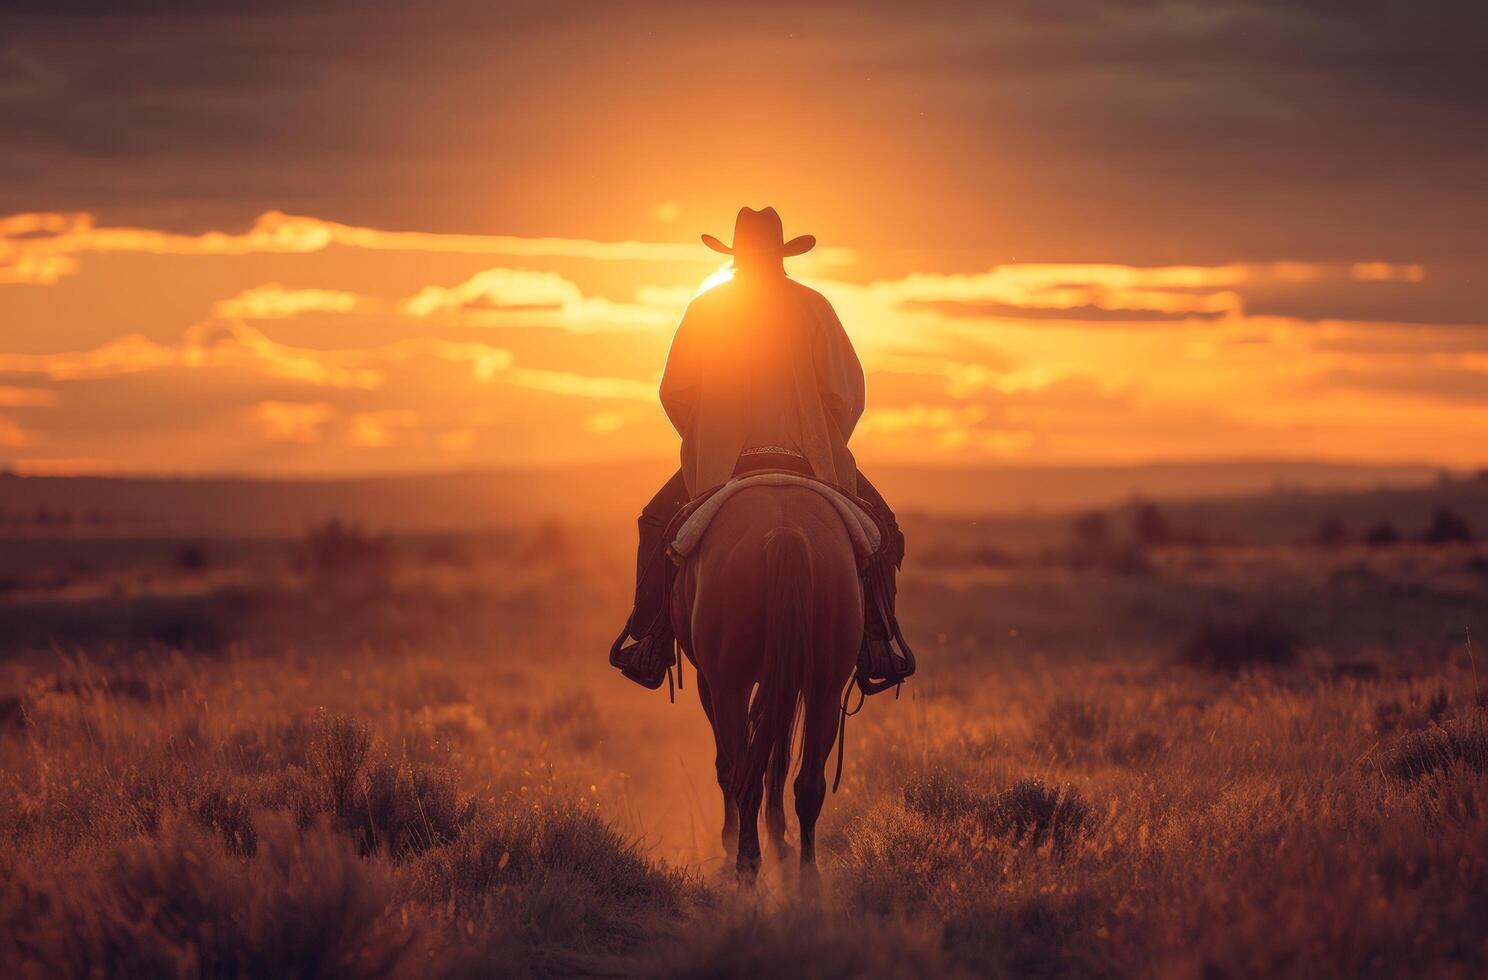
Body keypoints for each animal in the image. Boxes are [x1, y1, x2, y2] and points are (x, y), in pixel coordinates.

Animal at [672, 481, 868, 880]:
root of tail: (785, 532)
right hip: (825, 688)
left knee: (739, 774)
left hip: (728, 686)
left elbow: (733, 765)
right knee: (807, 784)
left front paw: (736, 843)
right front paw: (780, 841)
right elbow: (778, 759)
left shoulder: (709, 682)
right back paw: (807, 878)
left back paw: (745, 864)